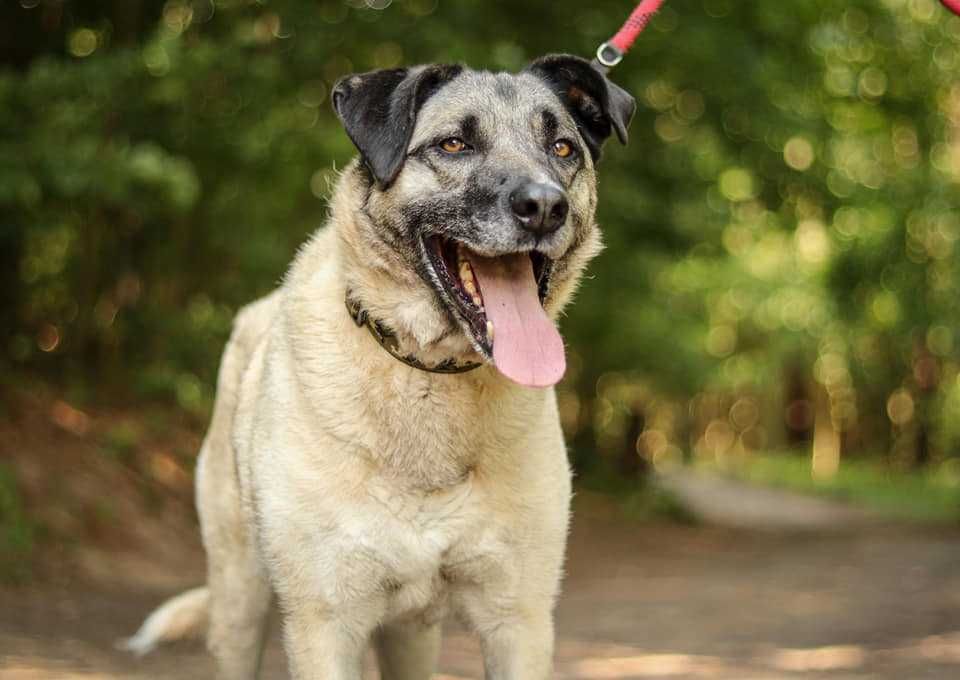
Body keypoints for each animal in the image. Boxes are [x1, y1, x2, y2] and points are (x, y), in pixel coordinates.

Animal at [125, 54, 636, 680]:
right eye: (454, 143)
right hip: (238, 603)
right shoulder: (324, 624)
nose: (544, 206)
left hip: (410, 636)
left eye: (562, 148)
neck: (427, 372)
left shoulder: (519, 621)